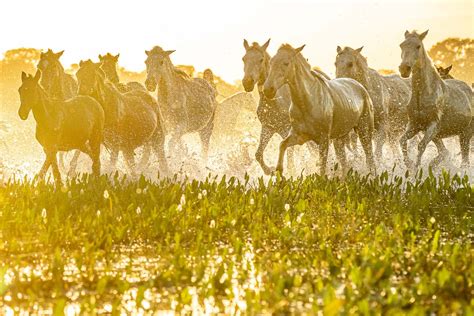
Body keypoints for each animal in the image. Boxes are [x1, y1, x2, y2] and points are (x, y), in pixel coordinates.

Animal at [262, 43, 376, 175]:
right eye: (271, 62)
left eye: (286, 63)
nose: (268, 90)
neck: (307, 102)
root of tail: (361, 88)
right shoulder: (300, 137)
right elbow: (282, 145)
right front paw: (278, 171)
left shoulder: (323, 140)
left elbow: (322, 168)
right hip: (340, 138)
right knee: (344, 163)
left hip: (364, 132)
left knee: (370, 159)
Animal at [398, 30, 472, 169]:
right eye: (401, 45)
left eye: (418, 46)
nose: (404, 69)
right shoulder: (415, 125)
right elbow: (402, 141)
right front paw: (409, 164)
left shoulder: (432, 126)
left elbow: (421, 146)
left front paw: (417, 169)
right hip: (443, 135)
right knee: (446, 152)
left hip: (466, 133)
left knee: (465, 161)